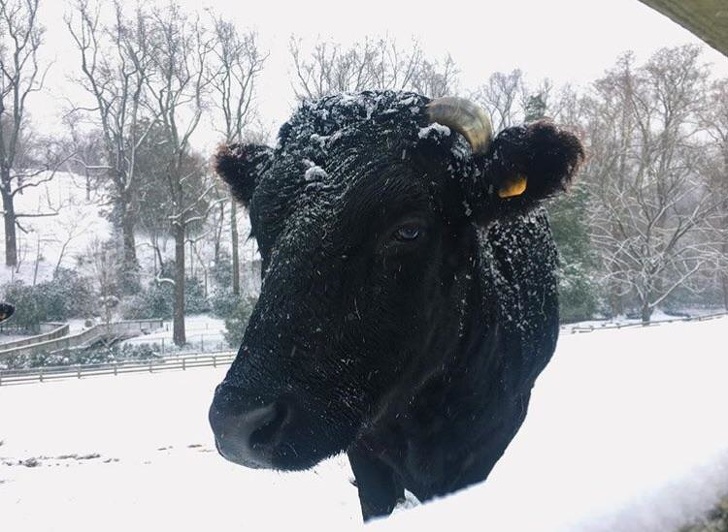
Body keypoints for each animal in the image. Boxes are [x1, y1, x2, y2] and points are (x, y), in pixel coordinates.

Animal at [208, 90, 584, 520]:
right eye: (259, 229)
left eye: (408, 230)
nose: (237, 422)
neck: (420, 415)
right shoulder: (365, 453)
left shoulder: (488, 443)